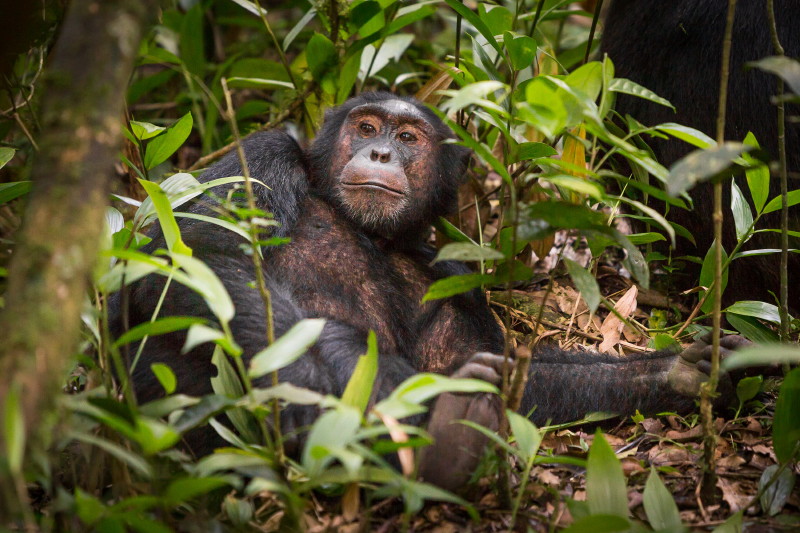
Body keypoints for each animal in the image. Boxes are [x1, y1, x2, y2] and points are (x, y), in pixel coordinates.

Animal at [112, 92, 752, 490]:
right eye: (366, 127)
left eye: (409, 137)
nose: (380, 151)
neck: (372, 230)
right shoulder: (260, 158)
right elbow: (197, 254)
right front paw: (296, 380)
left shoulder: (451, 281)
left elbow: (496, 366)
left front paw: (678, 371)